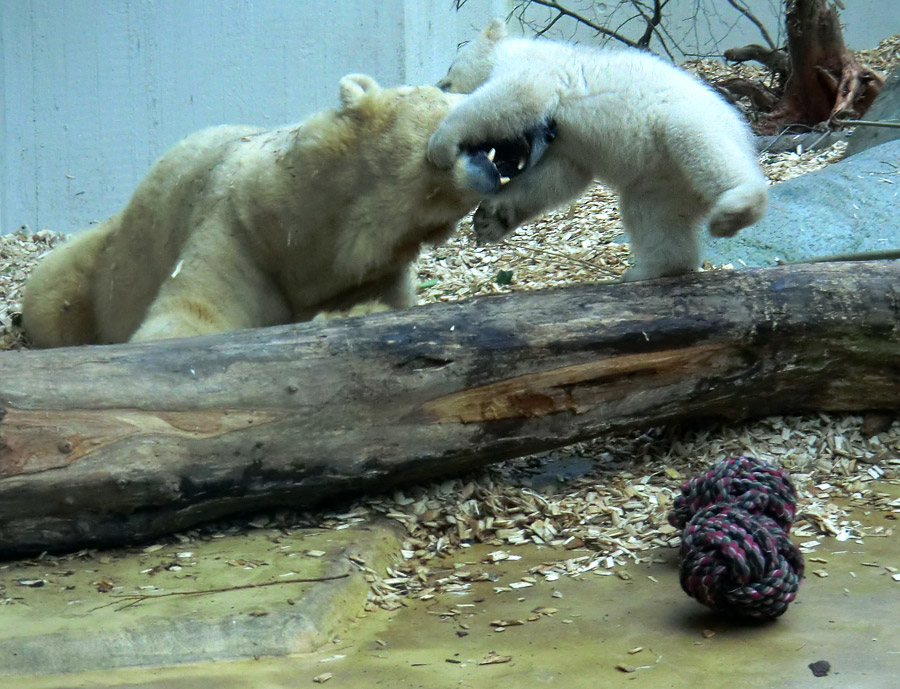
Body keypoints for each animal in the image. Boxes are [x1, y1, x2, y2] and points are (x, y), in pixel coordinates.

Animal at [22, 73, 506, 346]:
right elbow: (183, 323)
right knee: (51, 301)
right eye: (449, 94)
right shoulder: (239, 237)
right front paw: (356, 317)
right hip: (87, 268)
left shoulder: (363, 274)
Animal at [428, 20, 768, 280]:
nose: (439, 84)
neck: (513, 48)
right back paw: (647, 271)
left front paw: (440, 144)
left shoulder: (535, 70)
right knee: (653, 215)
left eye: (451, 65)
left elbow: (517, 95)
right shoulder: (565, 146)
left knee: (703, 146)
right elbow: (558, 177)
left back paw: (735, 211)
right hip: (661, 181)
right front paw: (490, 220)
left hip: (685, 119)